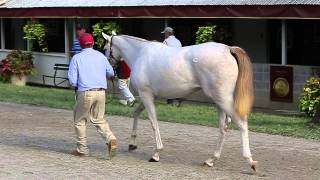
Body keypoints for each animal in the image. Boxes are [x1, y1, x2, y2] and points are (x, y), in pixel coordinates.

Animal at [102, 32, 258, 172]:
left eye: (105, 49)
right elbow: (136, 114)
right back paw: (211, 160)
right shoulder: (150, 96)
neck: (140, 54)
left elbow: (153, 122)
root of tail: (228, 49)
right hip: (220, 102)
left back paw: (250, 162)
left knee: (241, 124)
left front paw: (156, 153)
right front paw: (132, 144)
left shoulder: (146, 95)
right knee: (223, 128)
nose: (111, 72)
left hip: (223, 100)